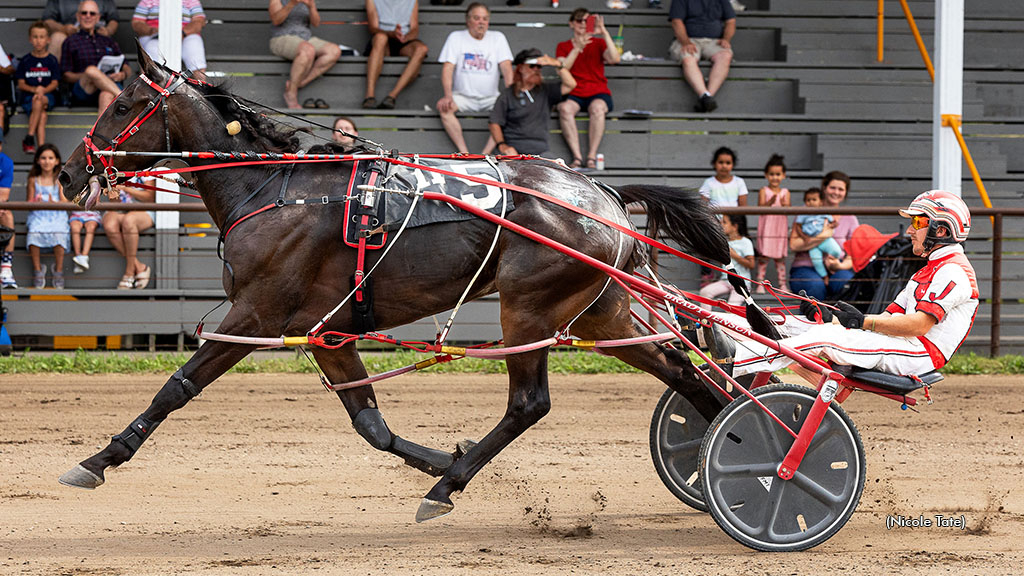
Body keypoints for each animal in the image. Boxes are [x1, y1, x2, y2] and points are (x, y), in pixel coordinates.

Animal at [59, 47, 737, 518]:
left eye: (122, 105)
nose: (70, 172)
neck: (273, 188)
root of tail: (601, 194)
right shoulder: (326, 331)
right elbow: (371, 424)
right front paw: (442, 455)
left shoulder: (257, 315)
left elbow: (176, 389)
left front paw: (98, 459)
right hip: (602, 313)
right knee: (684, 372)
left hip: (529, 308)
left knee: (529, 403)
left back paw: (446, 489)